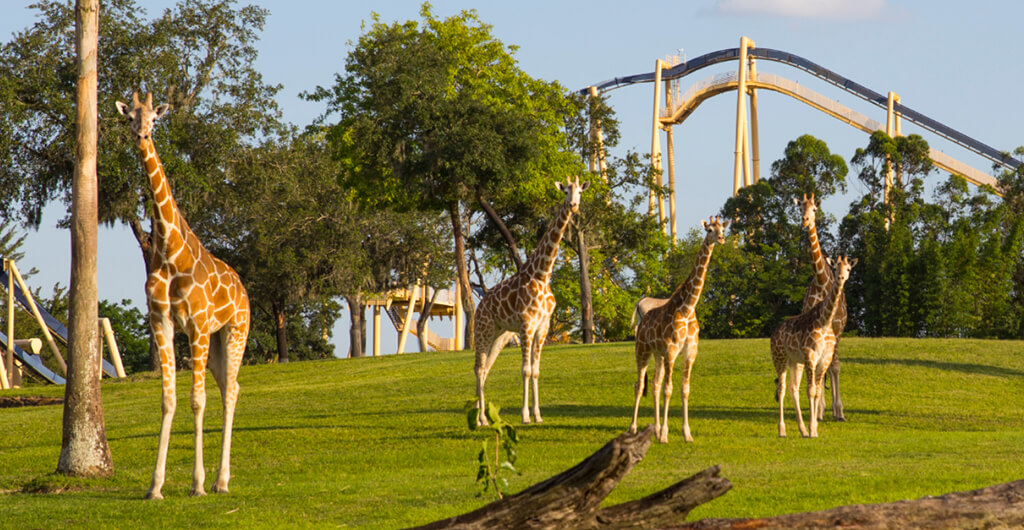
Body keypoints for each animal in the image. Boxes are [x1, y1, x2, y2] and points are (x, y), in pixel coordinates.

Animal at [116, 92, 250, 499]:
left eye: (154, 119)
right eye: (130, 117)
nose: (142, 135)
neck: (169, 249)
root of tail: (243, 287)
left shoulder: (197, 326)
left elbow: (196, 400)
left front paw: (198, 484)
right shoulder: (161, 321)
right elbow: (168, 399)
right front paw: (155, 486)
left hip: (234, 331)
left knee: (231, 390)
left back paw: (221, 481)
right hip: (219, 340)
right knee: (228, 387)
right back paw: (220, 479)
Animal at [474, 176, 589, 426]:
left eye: (580, 192)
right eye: (565, 191)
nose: (573, 205)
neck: (542, 274)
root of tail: (479, 306)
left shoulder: (542, 326)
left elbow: (536, 370)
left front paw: (538, 415)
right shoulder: (527, 325)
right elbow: (525, 370)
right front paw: (525, 415)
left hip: (500, 334)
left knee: (485, 368)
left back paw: (479, 416)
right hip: (483, 330)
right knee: (478, 367)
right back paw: (482, 419)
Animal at [629, 216, 728, 443]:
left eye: (722, 228)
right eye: (709, 230)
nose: (721, 239)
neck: (687, 308)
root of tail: (642, 320)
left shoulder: (690, 353)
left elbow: (684, 389)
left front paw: (686, 434)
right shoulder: (672, 351)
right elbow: (669, 389)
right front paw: (665, 435)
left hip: (657, 354)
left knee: (654, 384)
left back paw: (655, 430)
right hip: (643, 350)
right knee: (640, 385)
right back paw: (634, 428)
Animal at [771, 255, 856, 438]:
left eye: (848, 269)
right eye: (835, 268)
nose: (841, 277)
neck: (824, 321)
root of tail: (774, 331)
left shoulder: (824, 358)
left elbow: (816, 390)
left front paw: (814, 429)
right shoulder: (811, 355)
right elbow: (810, 390)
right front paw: (812, 428)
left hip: (795, 362)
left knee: (793, 388)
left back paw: (802, 430)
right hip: (779, 357)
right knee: (781, 389)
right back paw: (782, 430)